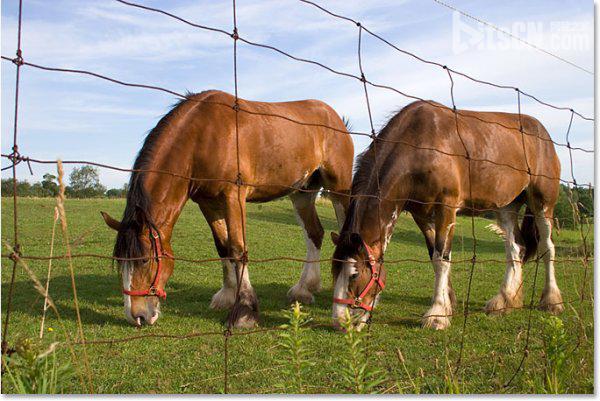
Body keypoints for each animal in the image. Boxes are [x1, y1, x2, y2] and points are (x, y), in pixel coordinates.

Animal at [101, 89, 354, 326]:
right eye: (120, 261)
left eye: (144, 259)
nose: (137, 316)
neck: (202, 136)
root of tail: (335, 117)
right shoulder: (208, 203)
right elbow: (222, 247)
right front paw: (228, 294)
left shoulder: (234, 197)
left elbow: (237, 248)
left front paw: (244, 309)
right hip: (302, 193)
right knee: (314, 233)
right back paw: (304, 289)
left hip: (339, 188)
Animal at [332, 99, 564, 328]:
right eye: (333, 271)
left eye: (354, 275)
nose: (340, 322)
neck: (420, 146)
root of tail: (543, 133)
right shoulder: (421, 215)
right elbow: (433, 256)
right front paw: (447, 302)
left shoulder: (446, 208)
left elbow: (441, 257)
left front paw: (437, 314)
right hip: (507, 207)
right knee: (516, 248)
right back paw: (504, 301)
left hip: (543, 204)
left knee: (547, 247)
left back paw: (551, 301)